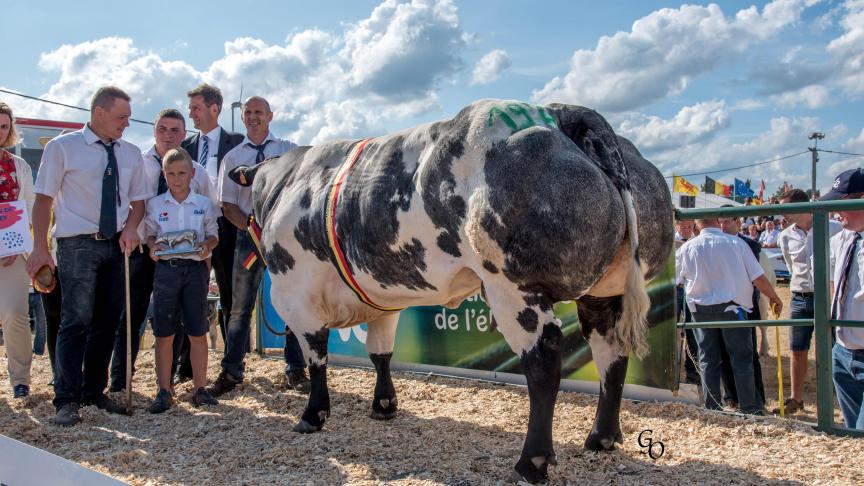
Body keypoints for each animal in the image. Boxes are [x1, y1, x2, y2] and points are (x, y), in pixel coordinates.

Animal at [229, 100, 673, 483]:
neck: (286, 185)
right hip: (602, 292)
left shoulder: (295, 295)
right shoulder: (384, 302)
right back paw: (602, 438)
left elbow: (318, 356)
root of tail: (561, 113)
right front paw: (384, 406)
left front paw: (312, 415)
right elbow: (381, 354)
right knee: (611, 354)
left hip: (513, 286)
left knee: (544, 361)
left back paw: (532, 463)